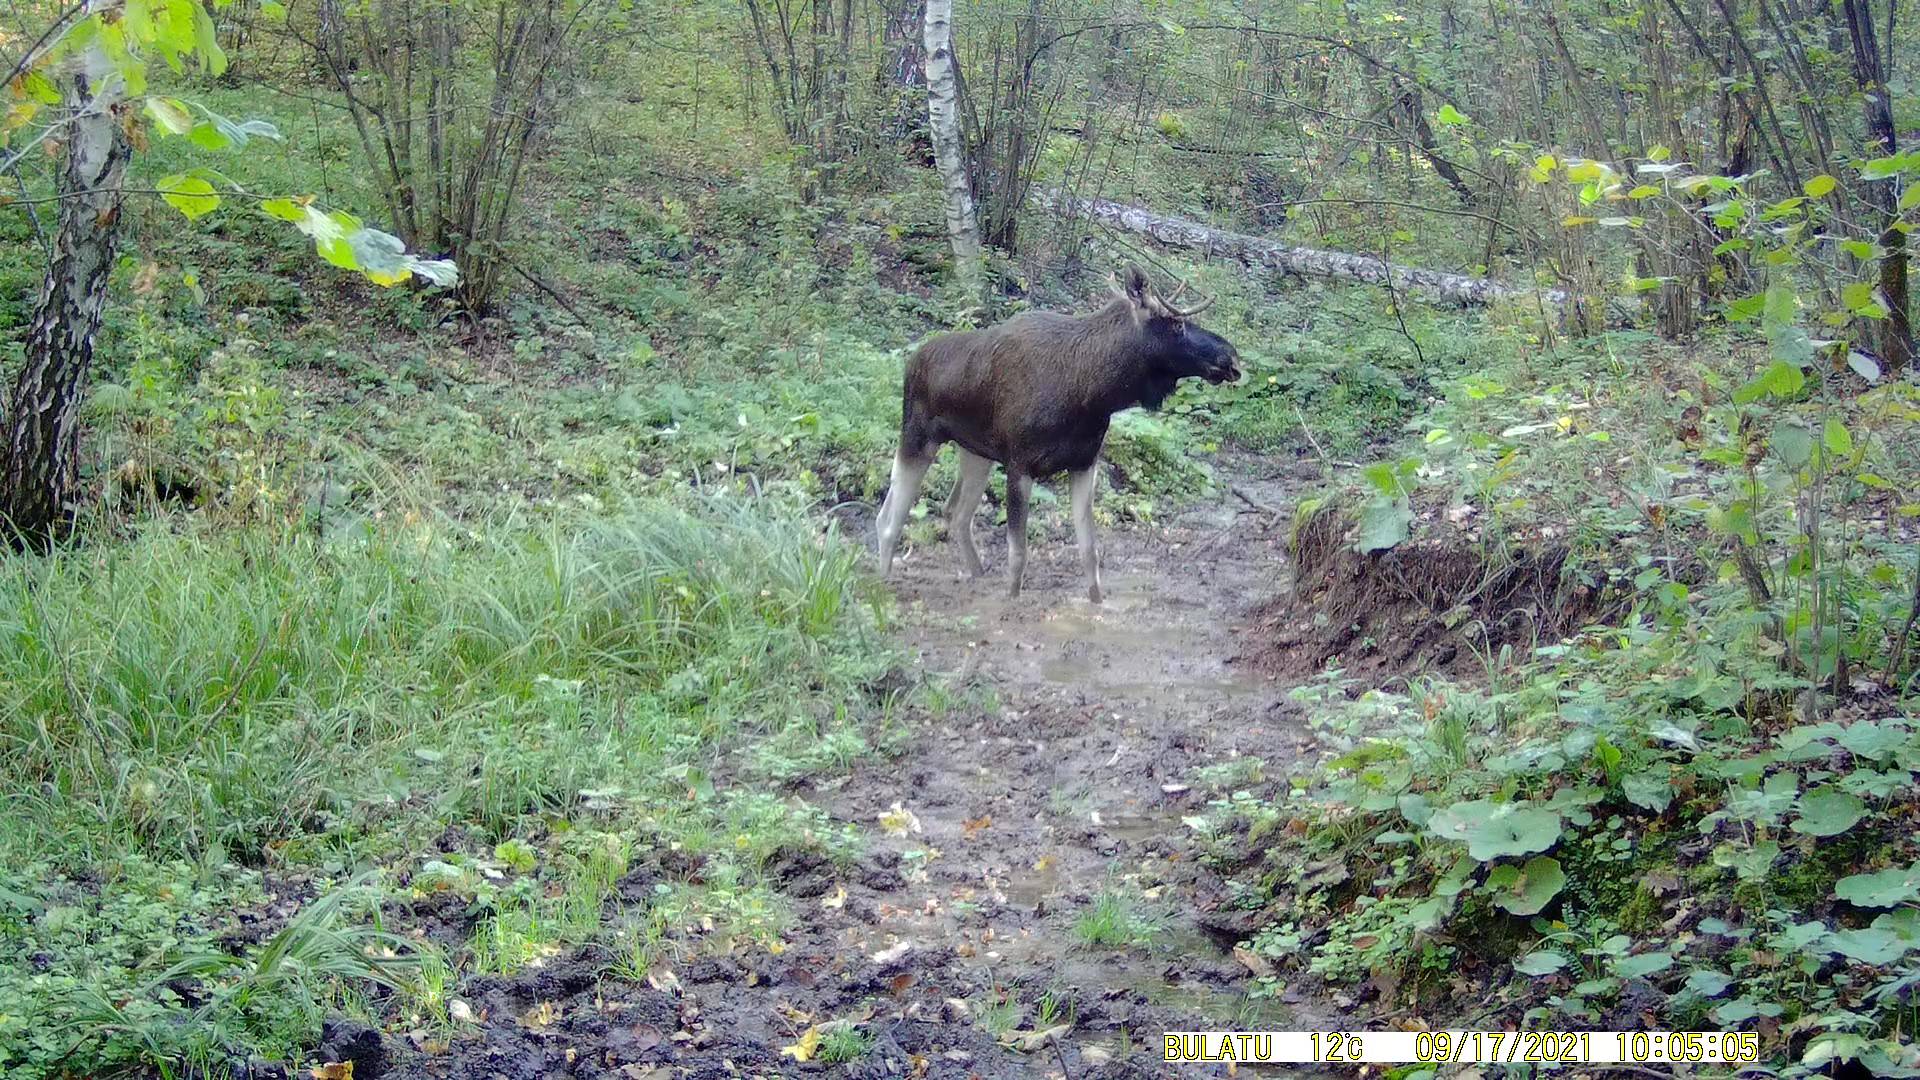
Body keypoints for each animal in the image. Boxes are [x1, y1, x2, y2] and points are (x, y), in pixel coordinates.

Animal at [875, 263, 1236, 599]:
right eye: (1176, 324)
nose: (1231, 356)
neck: (1093, 395)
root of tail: (911, 361)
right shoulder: (1020, 464)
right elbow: (1018, 555)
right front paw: (1011, 600)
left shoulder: (1084, 464)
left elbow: (1089, 552)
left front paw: (1096, 604)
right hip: (918, 437)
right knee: (890, 518)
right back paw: (883, 583)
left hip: (975, 452)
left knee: (955, 513)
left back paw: (976, 576)